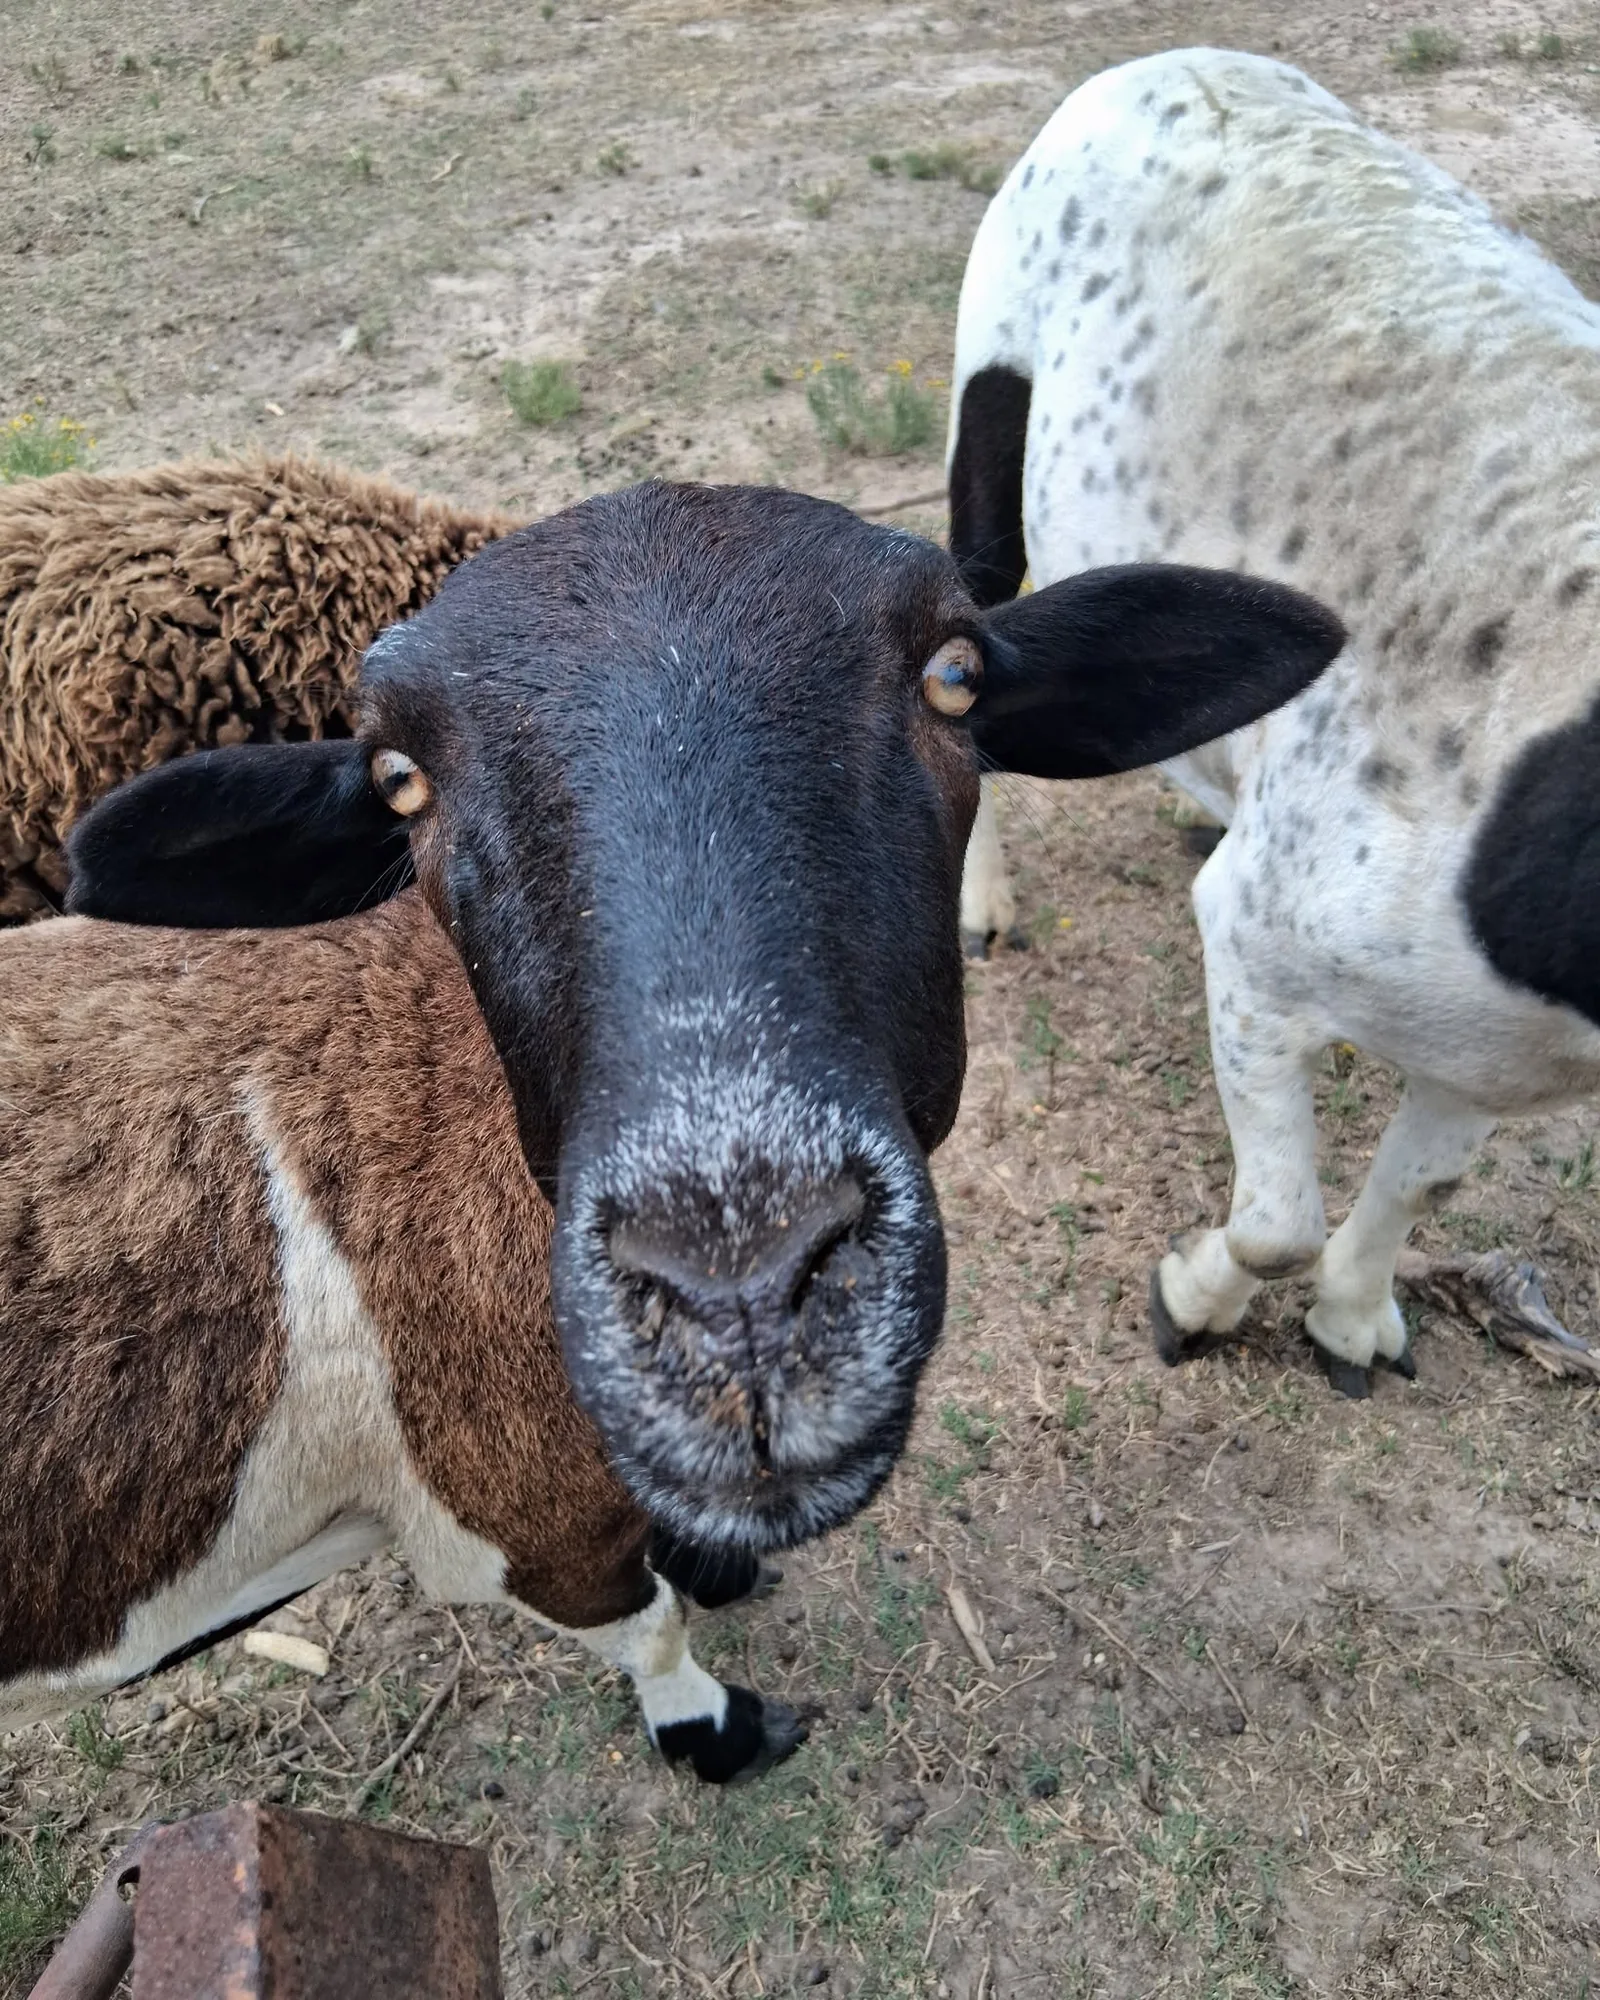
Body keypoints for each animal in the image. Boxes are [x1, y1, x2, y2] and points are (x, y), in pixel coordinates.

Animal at [945, 46, 1600, 1396]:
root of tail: (1176, 59)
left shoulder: (1499, 1041)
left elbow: (1422, 1183)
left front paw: (1352, 1318)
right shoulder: (1259, 942)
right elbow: (1277, 1224)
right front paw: (1191, 1300)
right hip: (992, 391)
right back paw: (980, 901)